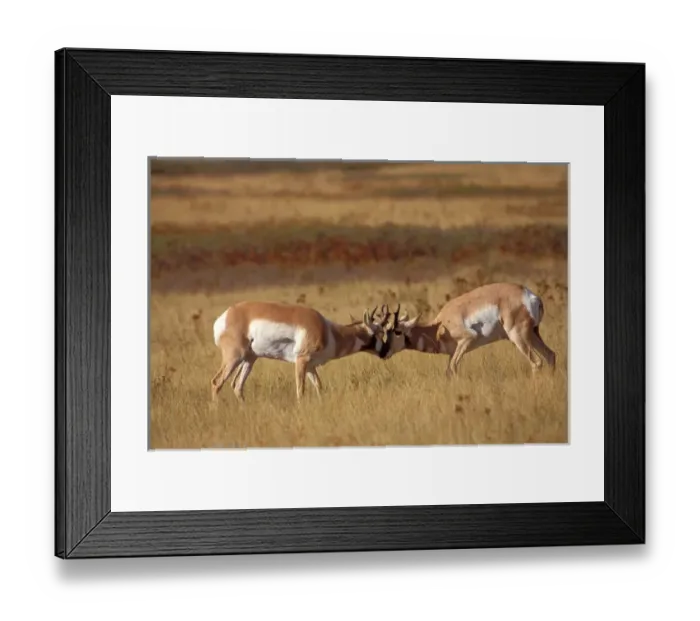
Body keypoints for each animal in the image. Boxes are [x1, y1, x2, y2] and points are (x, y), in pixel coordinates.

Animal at [210, 301, 391, 402]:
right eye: (379, 333)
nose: (386, 352)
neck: (328, 331)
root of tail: (225, 316)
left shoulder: (311, 366)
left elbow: (319, 386)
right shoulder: (301, 361)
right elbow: (300, 389)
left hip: (250, 359)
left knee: (237, 386)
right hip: (235, 357)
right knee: (216, 382)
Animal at [381, 283, 557, 377]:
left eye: (397, 331)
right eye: (385, 331)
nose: (384, 352)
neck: (439, 325)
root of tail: (530, 295)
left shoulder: (467, 339)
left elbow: (453, 367)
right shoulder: (453, 352)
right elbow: (448, 370)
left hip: (518, 337)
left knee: (537, 362)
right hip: (533, 334)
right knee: (550, 355)